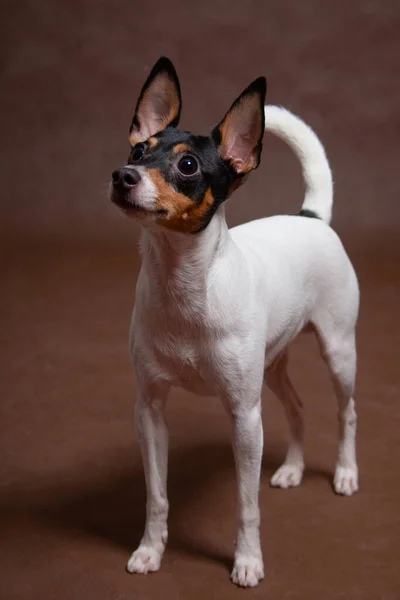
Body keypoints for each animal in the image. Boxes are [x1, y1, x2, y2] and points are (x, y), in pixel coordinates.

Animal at [109, 58, 360, 588]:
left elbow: (247, 505)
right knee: (298, 407)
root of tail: (311, 217)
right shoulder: (150, 412)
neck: (184, 287)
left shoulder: (245, 418)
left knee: (345, 411)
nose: (123, 175)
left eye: (187, 165)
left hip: (338, 352)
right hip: (272, 367)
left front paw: (247, 561)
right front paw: (150, 550)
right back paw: (292, 469)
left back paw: (346, 473)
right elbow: (157, 495)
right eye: (138, 150)